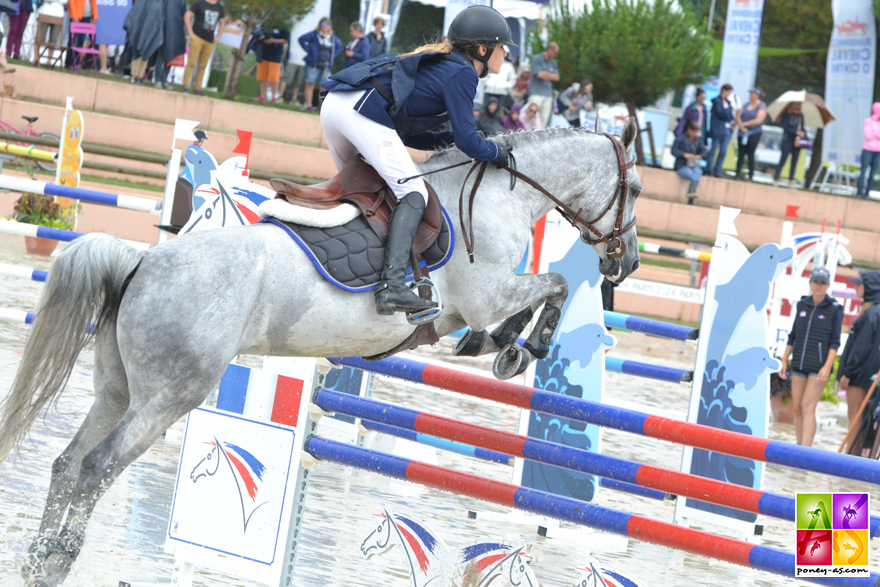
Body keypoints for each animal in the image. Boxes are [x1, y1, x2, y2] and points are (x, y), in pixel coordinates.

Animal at [0, 121, 636, 584]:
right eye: (633, 191)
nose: (626, 263)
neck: (499, 197)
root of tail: (143, 259)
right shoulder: (487, 294)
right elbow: (555, 283)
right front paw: (521, 346)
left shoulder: (470, 307)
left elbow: (536, 293)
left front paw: (501, 344)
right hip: (169, 396)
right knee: (97, 465)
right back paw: (57, 561)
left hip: (118, 389)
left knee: (67, 463)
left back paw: (35, 559)